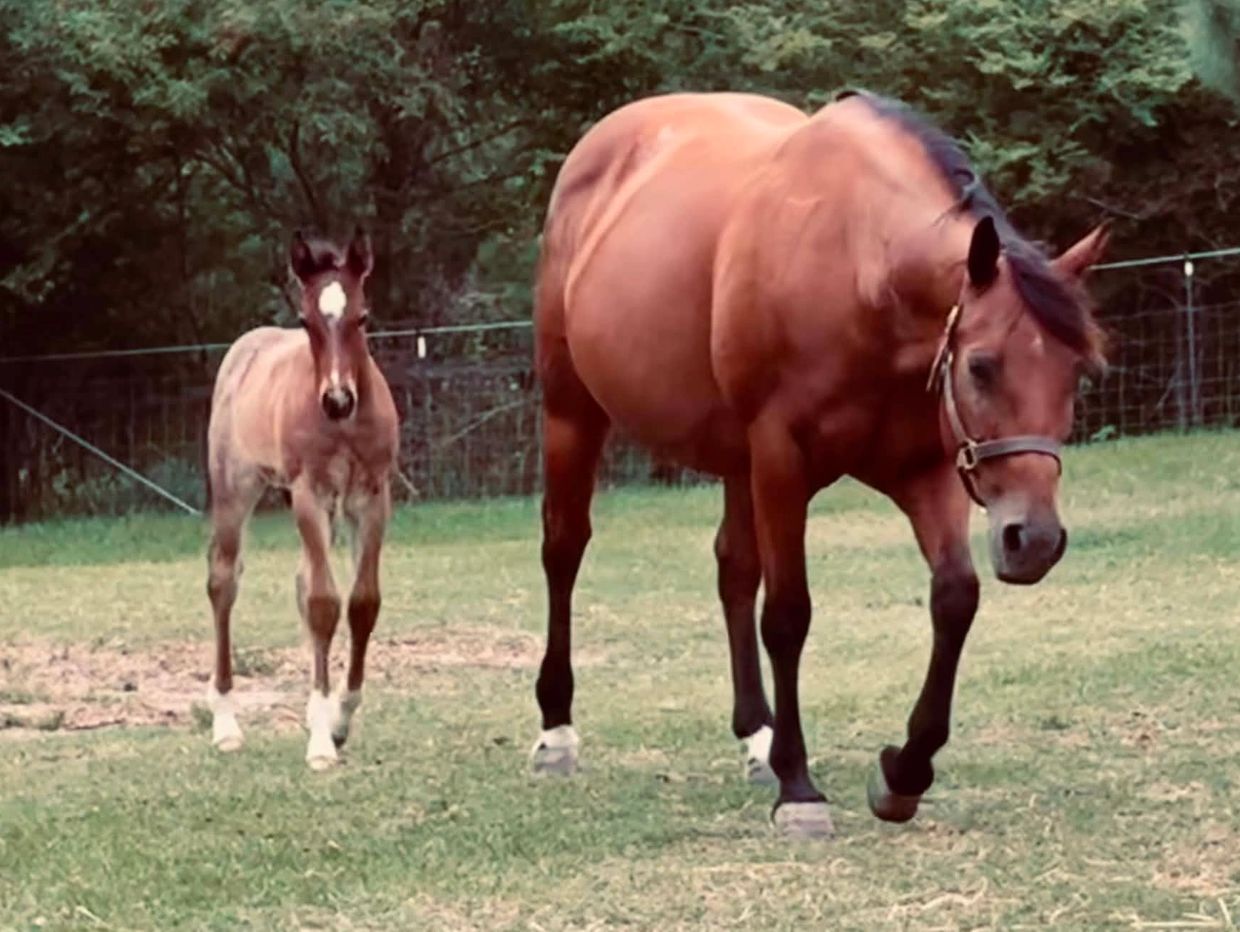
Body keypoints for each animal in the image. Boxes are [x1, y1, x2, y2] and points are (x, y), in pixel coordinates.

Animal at [204, 228, 399, 770]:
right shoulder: (309, 494)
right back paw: (225, 723)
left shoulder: (372, 498)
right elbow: (322, 602)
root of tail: (244, 348)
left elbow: (362, 602)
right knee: (223, 581)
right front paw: (320, 743)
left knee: (299, 581)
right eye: (306, 322)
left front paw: (338, 720)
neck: (345, 425)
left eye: (363, 316)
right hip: (235, 490)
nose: (337, 400)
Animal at [529, 90, 1109, 836]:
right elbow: (788, 616)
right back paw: (557, 733)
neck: (857, 270)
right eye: (981, 366)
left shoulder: (927, 469)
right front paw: (799, 789)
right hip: (573, 414)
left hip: (735, 462)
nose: (1032, 539)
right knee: (564, 549)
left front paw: (901, 774)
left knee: (733, 569)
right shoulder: (781, 459)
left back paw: (758, 736)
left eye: (1080, 375)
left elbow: (954, 597)